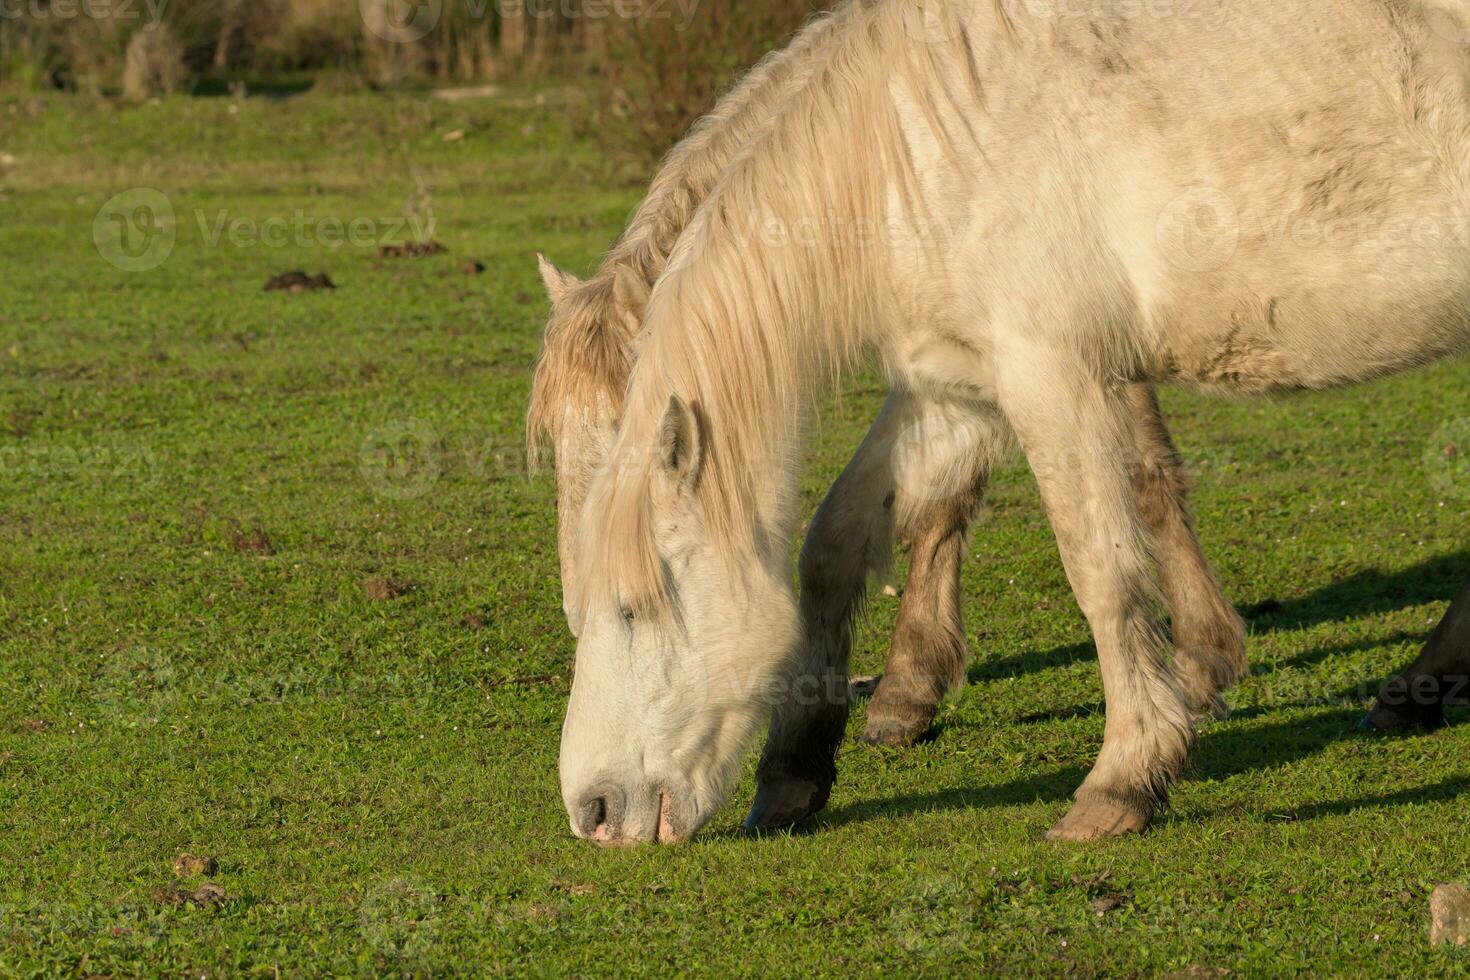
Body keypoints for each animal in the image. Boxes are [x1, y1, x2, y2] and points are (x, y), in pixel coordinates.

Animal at [555, 0, 1470, 846]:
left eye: (633, 609)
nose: (593, 811)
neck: (920, 145)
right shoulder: (958, 393)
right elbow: (837, 544)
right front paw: (794, 773)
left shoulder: (1052, 377)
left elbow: (1101, 568)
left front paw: (1125, 779)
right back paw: (1417, 690)